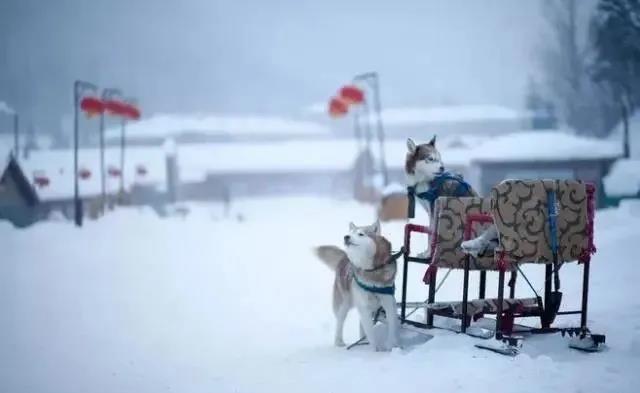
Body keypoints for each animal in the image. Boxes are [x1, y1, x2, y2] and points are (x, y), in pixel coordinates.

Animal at [312, 219, 398, 350]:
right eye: (350, 233)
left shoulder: (388, 303)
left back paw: (363, 341)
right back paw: (340, 342)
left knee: (361, 324)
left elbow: (392, 327)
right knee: (340, 323)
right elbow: (371, 333)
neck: (371, 273)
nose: (346, 237)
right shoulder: (364, 306)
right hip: (343, 305)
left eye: (361, 234)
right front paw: (376, 350)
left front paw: (391, 347)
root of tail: (344, 258)